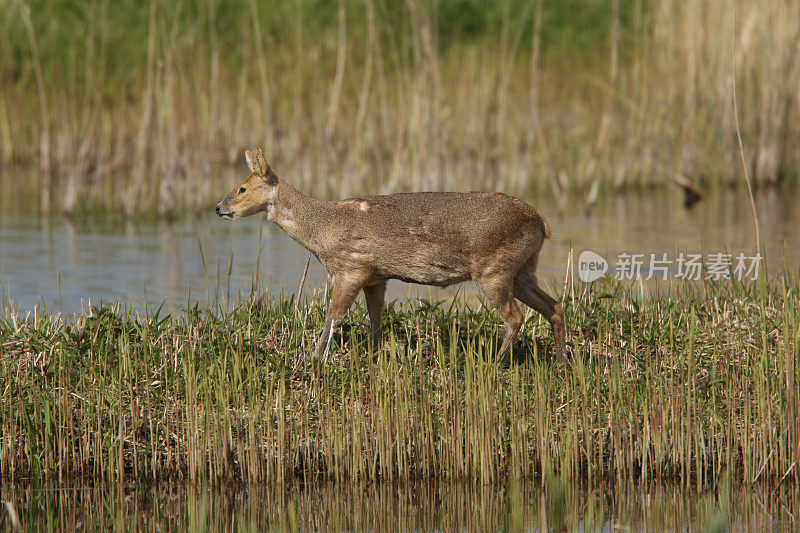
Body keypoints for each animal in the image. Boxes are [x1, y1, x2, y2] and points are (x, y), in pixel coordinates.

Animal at [216, 148, 564, 360]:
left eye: (242, 188)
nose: (219, 208)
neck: (322, 230)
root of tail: (541, 221)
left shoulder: (351, 268)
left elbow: (334, 315)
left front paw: (314, 357)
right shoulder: (376, 277)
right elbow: (375, 319)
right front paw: (374, 355)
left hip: (494, 269)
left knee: (515, 316)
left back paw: (497, 361)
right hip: (523, 269)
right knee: (554, 306)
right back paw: (563, 361)